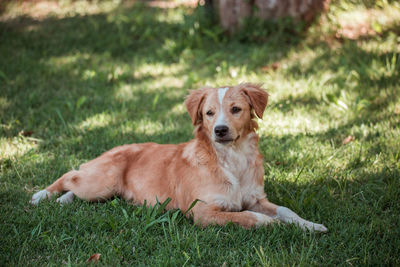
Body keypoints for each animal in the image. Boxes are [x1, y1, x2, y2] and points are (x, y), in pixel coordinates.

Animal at [30, 84, 328, 232]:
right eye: (209, 113)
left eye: (236, 109)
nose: (220, 130)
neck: (231, 159)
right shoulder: (202, 211)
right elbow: (246, 217)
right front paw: (272, 224)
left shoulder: (256, 198)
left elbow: (285, 210)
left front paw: (310, 225)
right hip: (102, 181)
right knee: (70, 174)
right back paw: (42, 195)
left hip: (103, 191)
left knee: (76, 185)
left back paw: (64, 200)